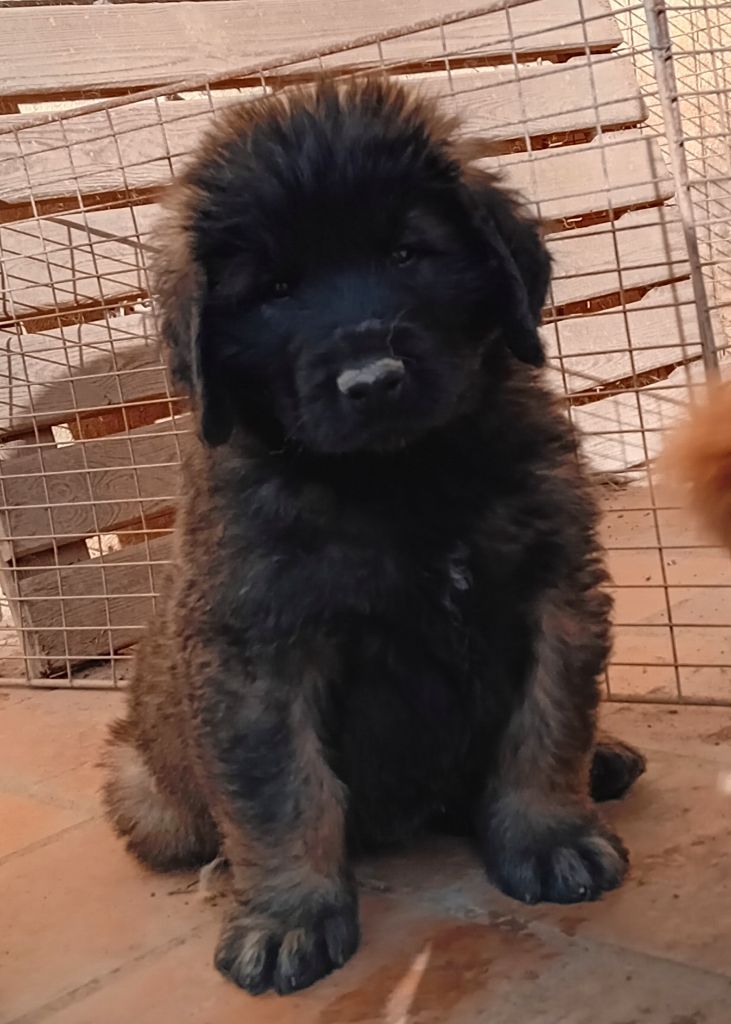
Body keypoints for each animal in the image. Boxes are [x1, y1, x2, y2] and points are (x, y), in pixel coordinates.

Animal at [102, 77, 642, 991]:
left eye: (405, 254)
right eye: (275, 290)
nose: (373, 379)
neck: (399, 477)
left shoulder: (552, 588)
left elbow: (546, 725)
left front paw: (550, 836)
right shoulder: (258, 652)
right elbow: (284, 793)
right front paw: (287, 916)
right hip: (148, 793)